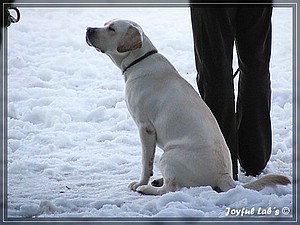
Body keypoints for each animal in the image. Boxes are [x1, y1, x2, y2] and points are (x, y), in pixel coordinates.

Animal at [85, 19, 290, 195]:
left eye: (112, 29)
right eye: (105, 24)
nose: (88, 29)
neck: (139, 60)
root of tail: (225, 177)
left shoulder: (146, 128)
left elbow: (146, 162)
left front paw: (140, 182)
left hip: (168, 155)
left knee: (171, 188)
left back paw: (147, 188)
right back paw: (158, 180)